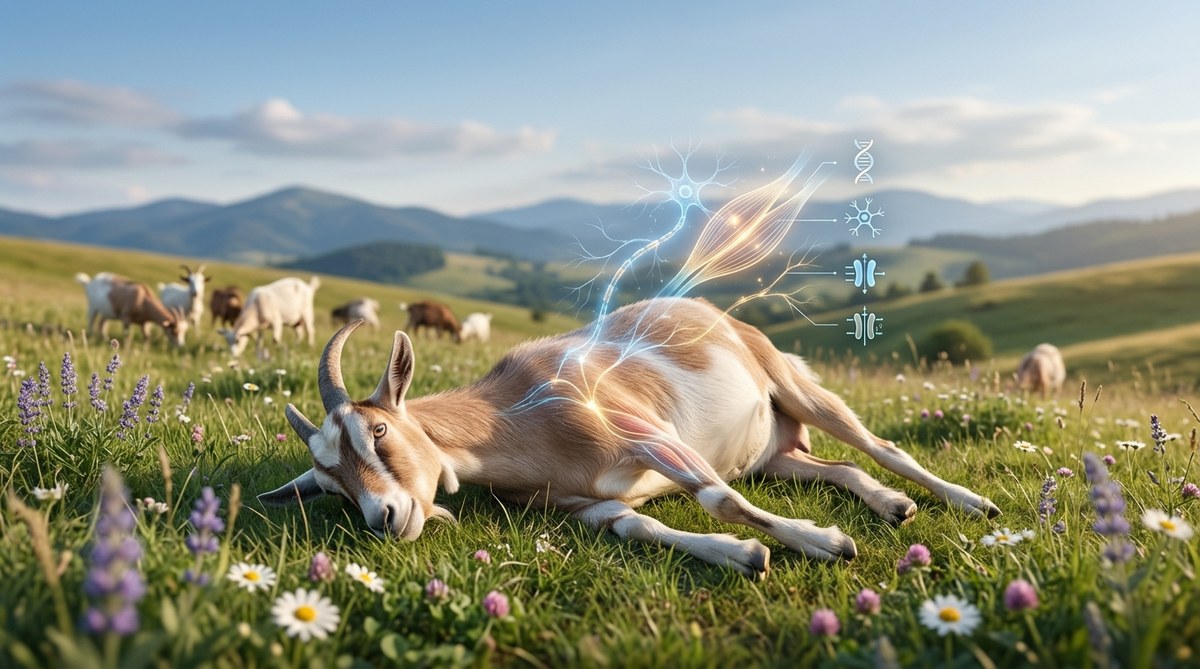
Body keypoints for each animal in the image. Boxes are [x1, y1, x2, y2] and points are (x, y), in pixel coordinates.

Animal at [260, 297, 999, 578]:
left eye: (379, 429)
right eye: (328, 483)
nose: (384, 517)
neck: (518, 413)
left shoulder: (646, 433)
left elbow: (716, 498)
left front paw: (822, 542)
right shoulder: (584, 504)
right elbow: (634, 526)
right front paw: (743, 555)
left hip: (790, 381)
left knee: (879, 446)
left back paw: (969, 503)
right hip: (772, 455)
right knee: (835, 466)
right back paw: (891, 504)